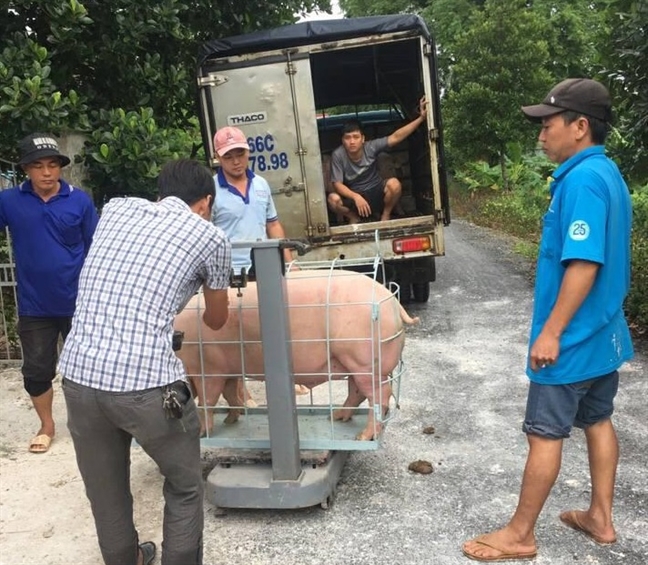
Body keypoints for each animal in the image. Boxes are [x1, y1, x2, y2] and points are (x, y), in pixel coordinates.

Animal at [175, 268, 418, 440]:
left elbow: (207, 400)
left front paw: (203, 433)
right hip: (354, 363)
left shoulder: (208, 368)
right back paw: (336, 417)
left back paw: (362, 437)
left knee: (380, 396)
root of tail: (393, 303)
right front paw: (230, 420)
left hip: (364, 361)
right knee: (357, 392)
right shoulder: (227, 368)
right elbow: (229, 394)